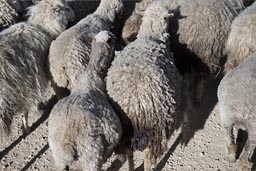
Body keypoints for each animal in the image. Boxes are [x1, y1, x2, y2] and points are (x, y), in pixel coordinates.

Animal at [0, 0, 71, 146]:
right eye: (65, 8)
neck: (42, 28)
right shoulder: (30, 84)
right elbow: (27, 109)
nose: (73, 14)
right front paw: (26, 127)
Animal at [48, 30, 124, 171]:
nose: (116, 36)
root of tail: (67, 146)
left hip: (60, 160)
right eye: (111, 37)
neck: (91, 75)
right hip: (91, 154)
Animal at [106, 0, 182, 170]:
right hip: (153, 129)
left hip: (124, 128)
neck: (150, 37)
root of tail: (134, 103)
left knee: (128, 151)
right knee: (147, 155)